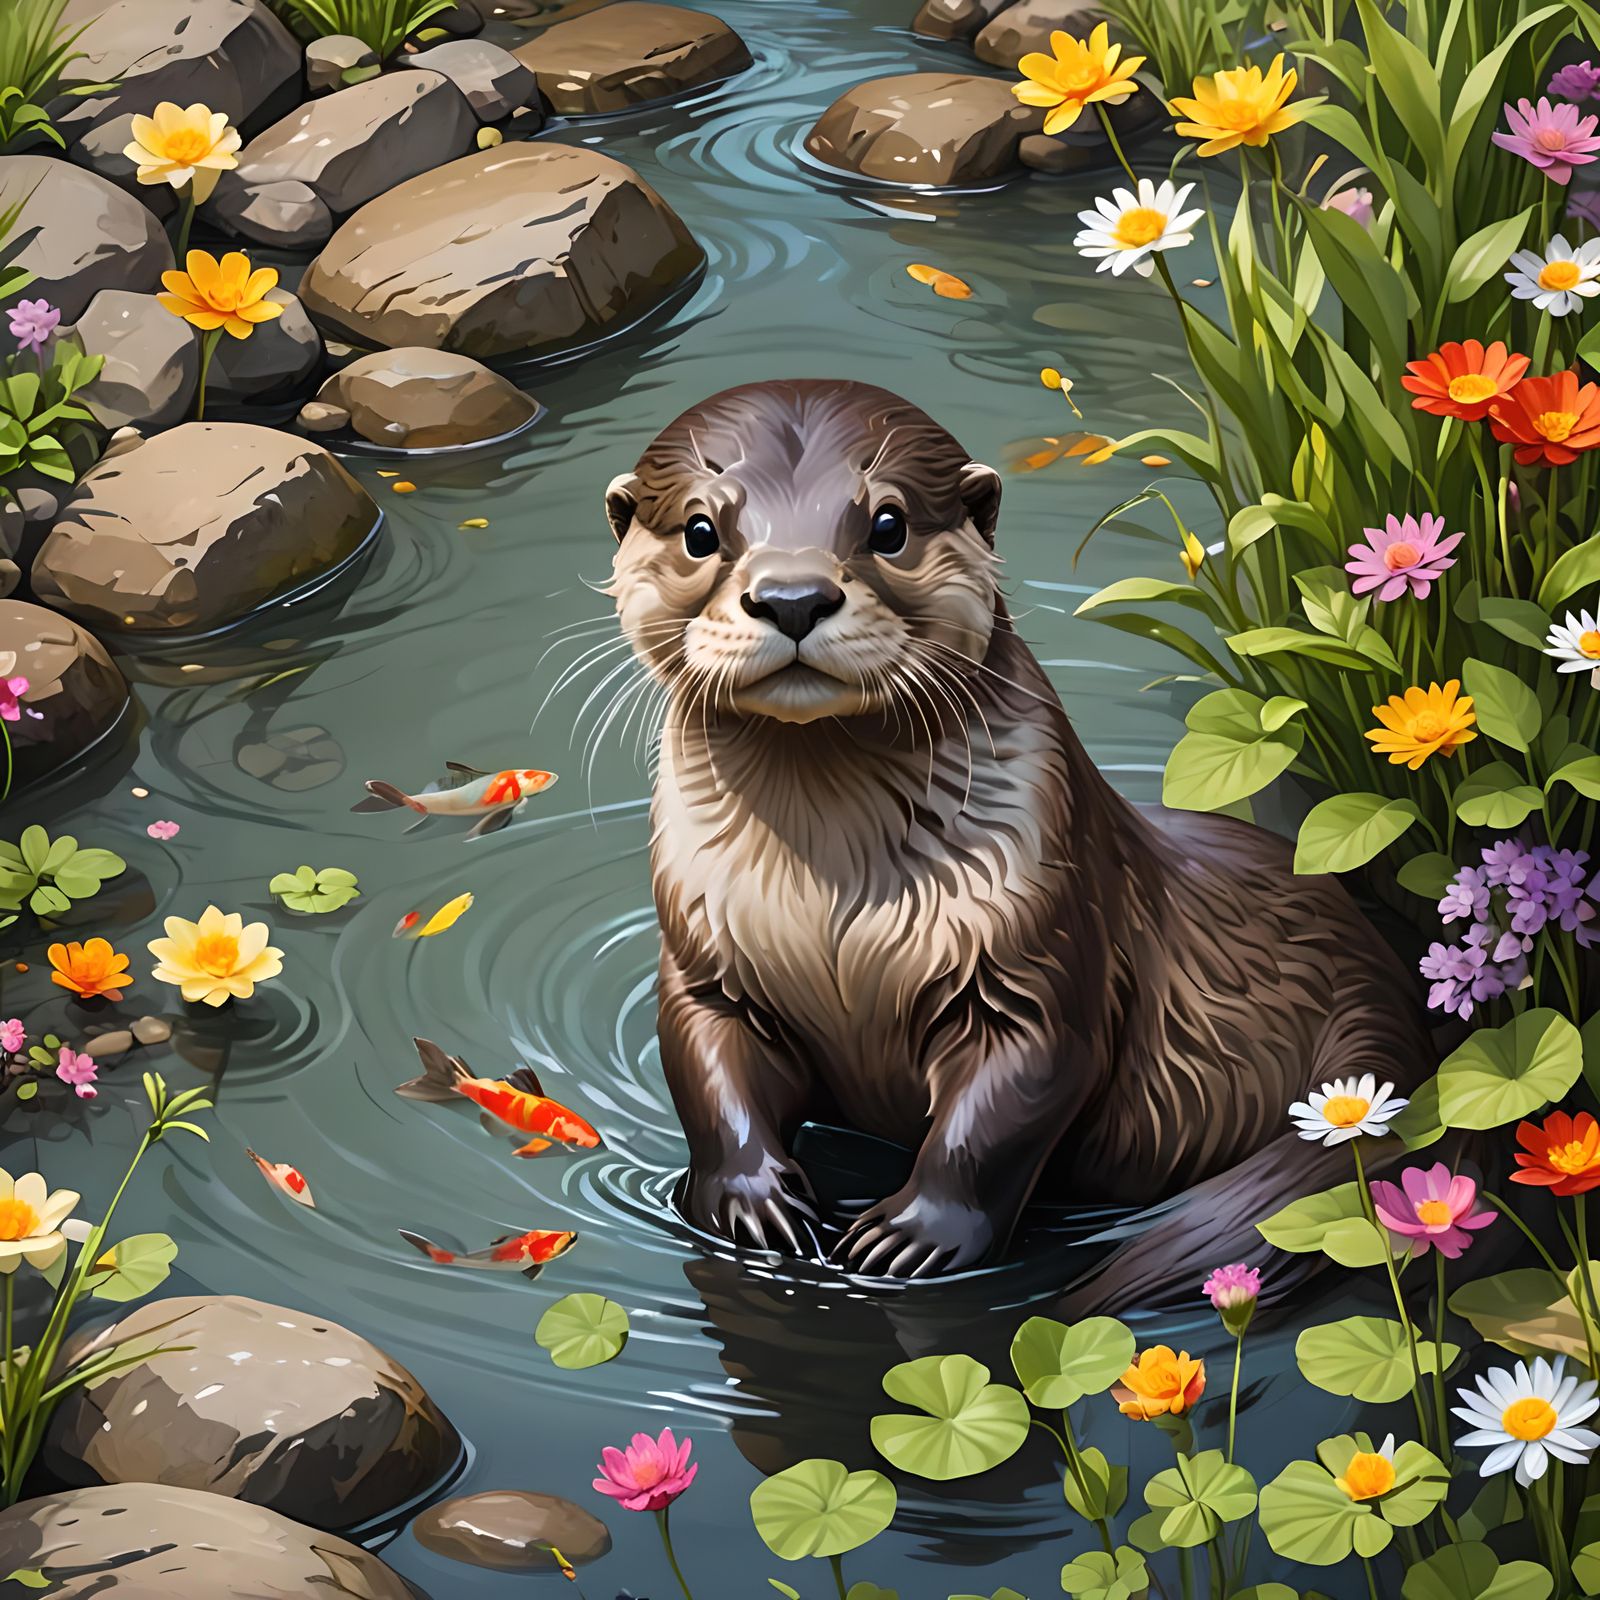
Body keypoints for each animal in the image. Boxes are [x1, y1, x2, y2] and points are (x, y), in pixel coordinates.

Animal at [605, 378, 1430, 1297]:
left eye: (887, 524)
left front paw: (911, 1237)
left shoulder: (1040, 950)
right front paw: (750, 1201)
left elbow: (1008, 1105)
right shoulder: (705, 953)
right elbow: (706, 1067)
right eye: (700, 531)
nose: (792, 598)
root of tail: (1389, 990)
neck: (827, 910)